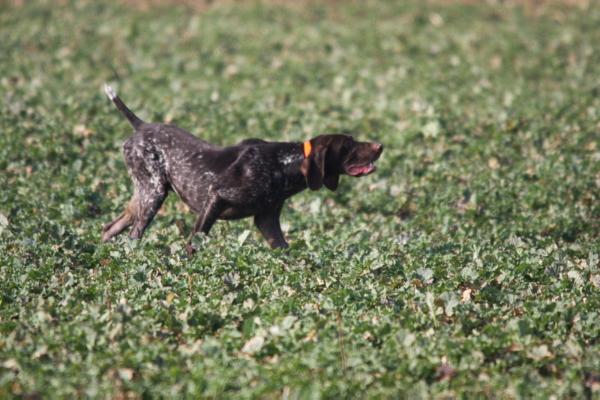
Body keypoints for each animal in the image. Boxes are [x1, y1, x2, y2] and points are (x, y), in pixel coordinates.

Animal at [102, 84, 384, 253]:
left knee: (110, 229)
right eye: (348, 144)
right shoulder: (215, 198)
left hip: (144, 195)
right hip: (154, 193)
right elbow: (195, 241)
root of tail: (140, 125)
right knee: (134, 235)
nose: (381, 145)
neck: (284, 164)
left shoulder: (267, 221)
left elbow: (285, 251)